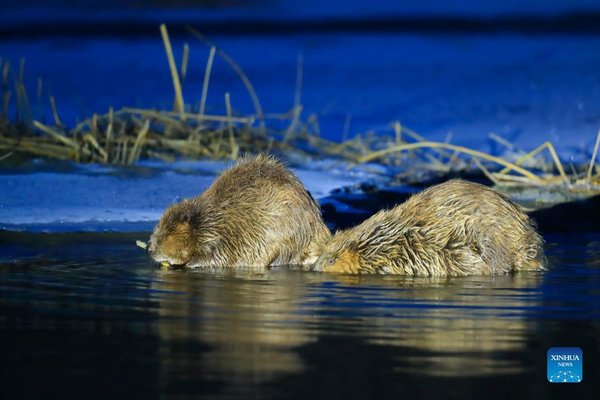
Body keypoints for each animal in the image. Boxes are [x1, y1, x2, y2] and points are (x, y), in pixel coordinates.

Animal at [147, 155, 330, 268]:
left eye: (170, 230)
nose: (150, 248)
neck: (210, 218)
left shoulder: (227, 237)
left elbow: (220, 257)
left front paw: (189, 264)